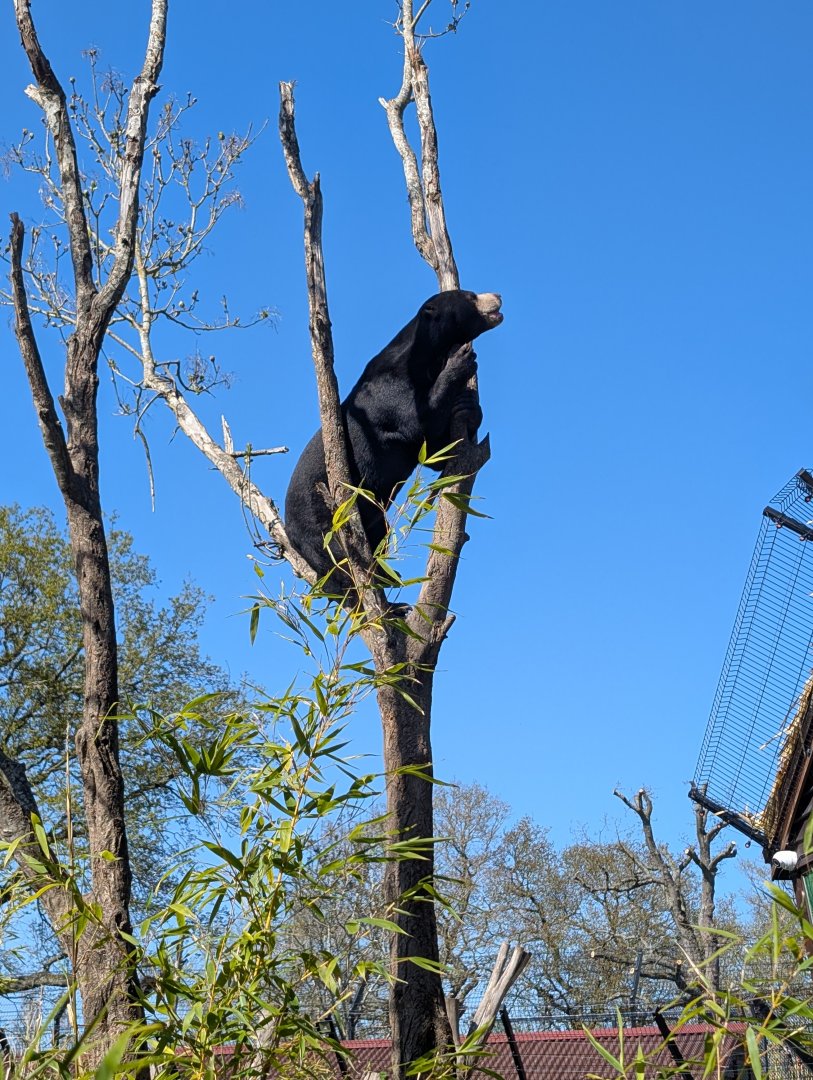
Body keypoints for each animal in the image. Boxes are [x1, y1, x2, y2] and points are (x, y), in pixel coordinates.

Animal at [284, 289, 503, 593]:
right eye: (470, 297)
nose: (498, 295)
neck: (427, 358)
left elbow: (434, 450)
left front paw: (469, 406)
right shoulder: (388, 389)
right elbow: (416, 421)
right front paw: (461, 363)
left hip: (372, 521)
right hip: (323, 522)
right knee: (338, 562)